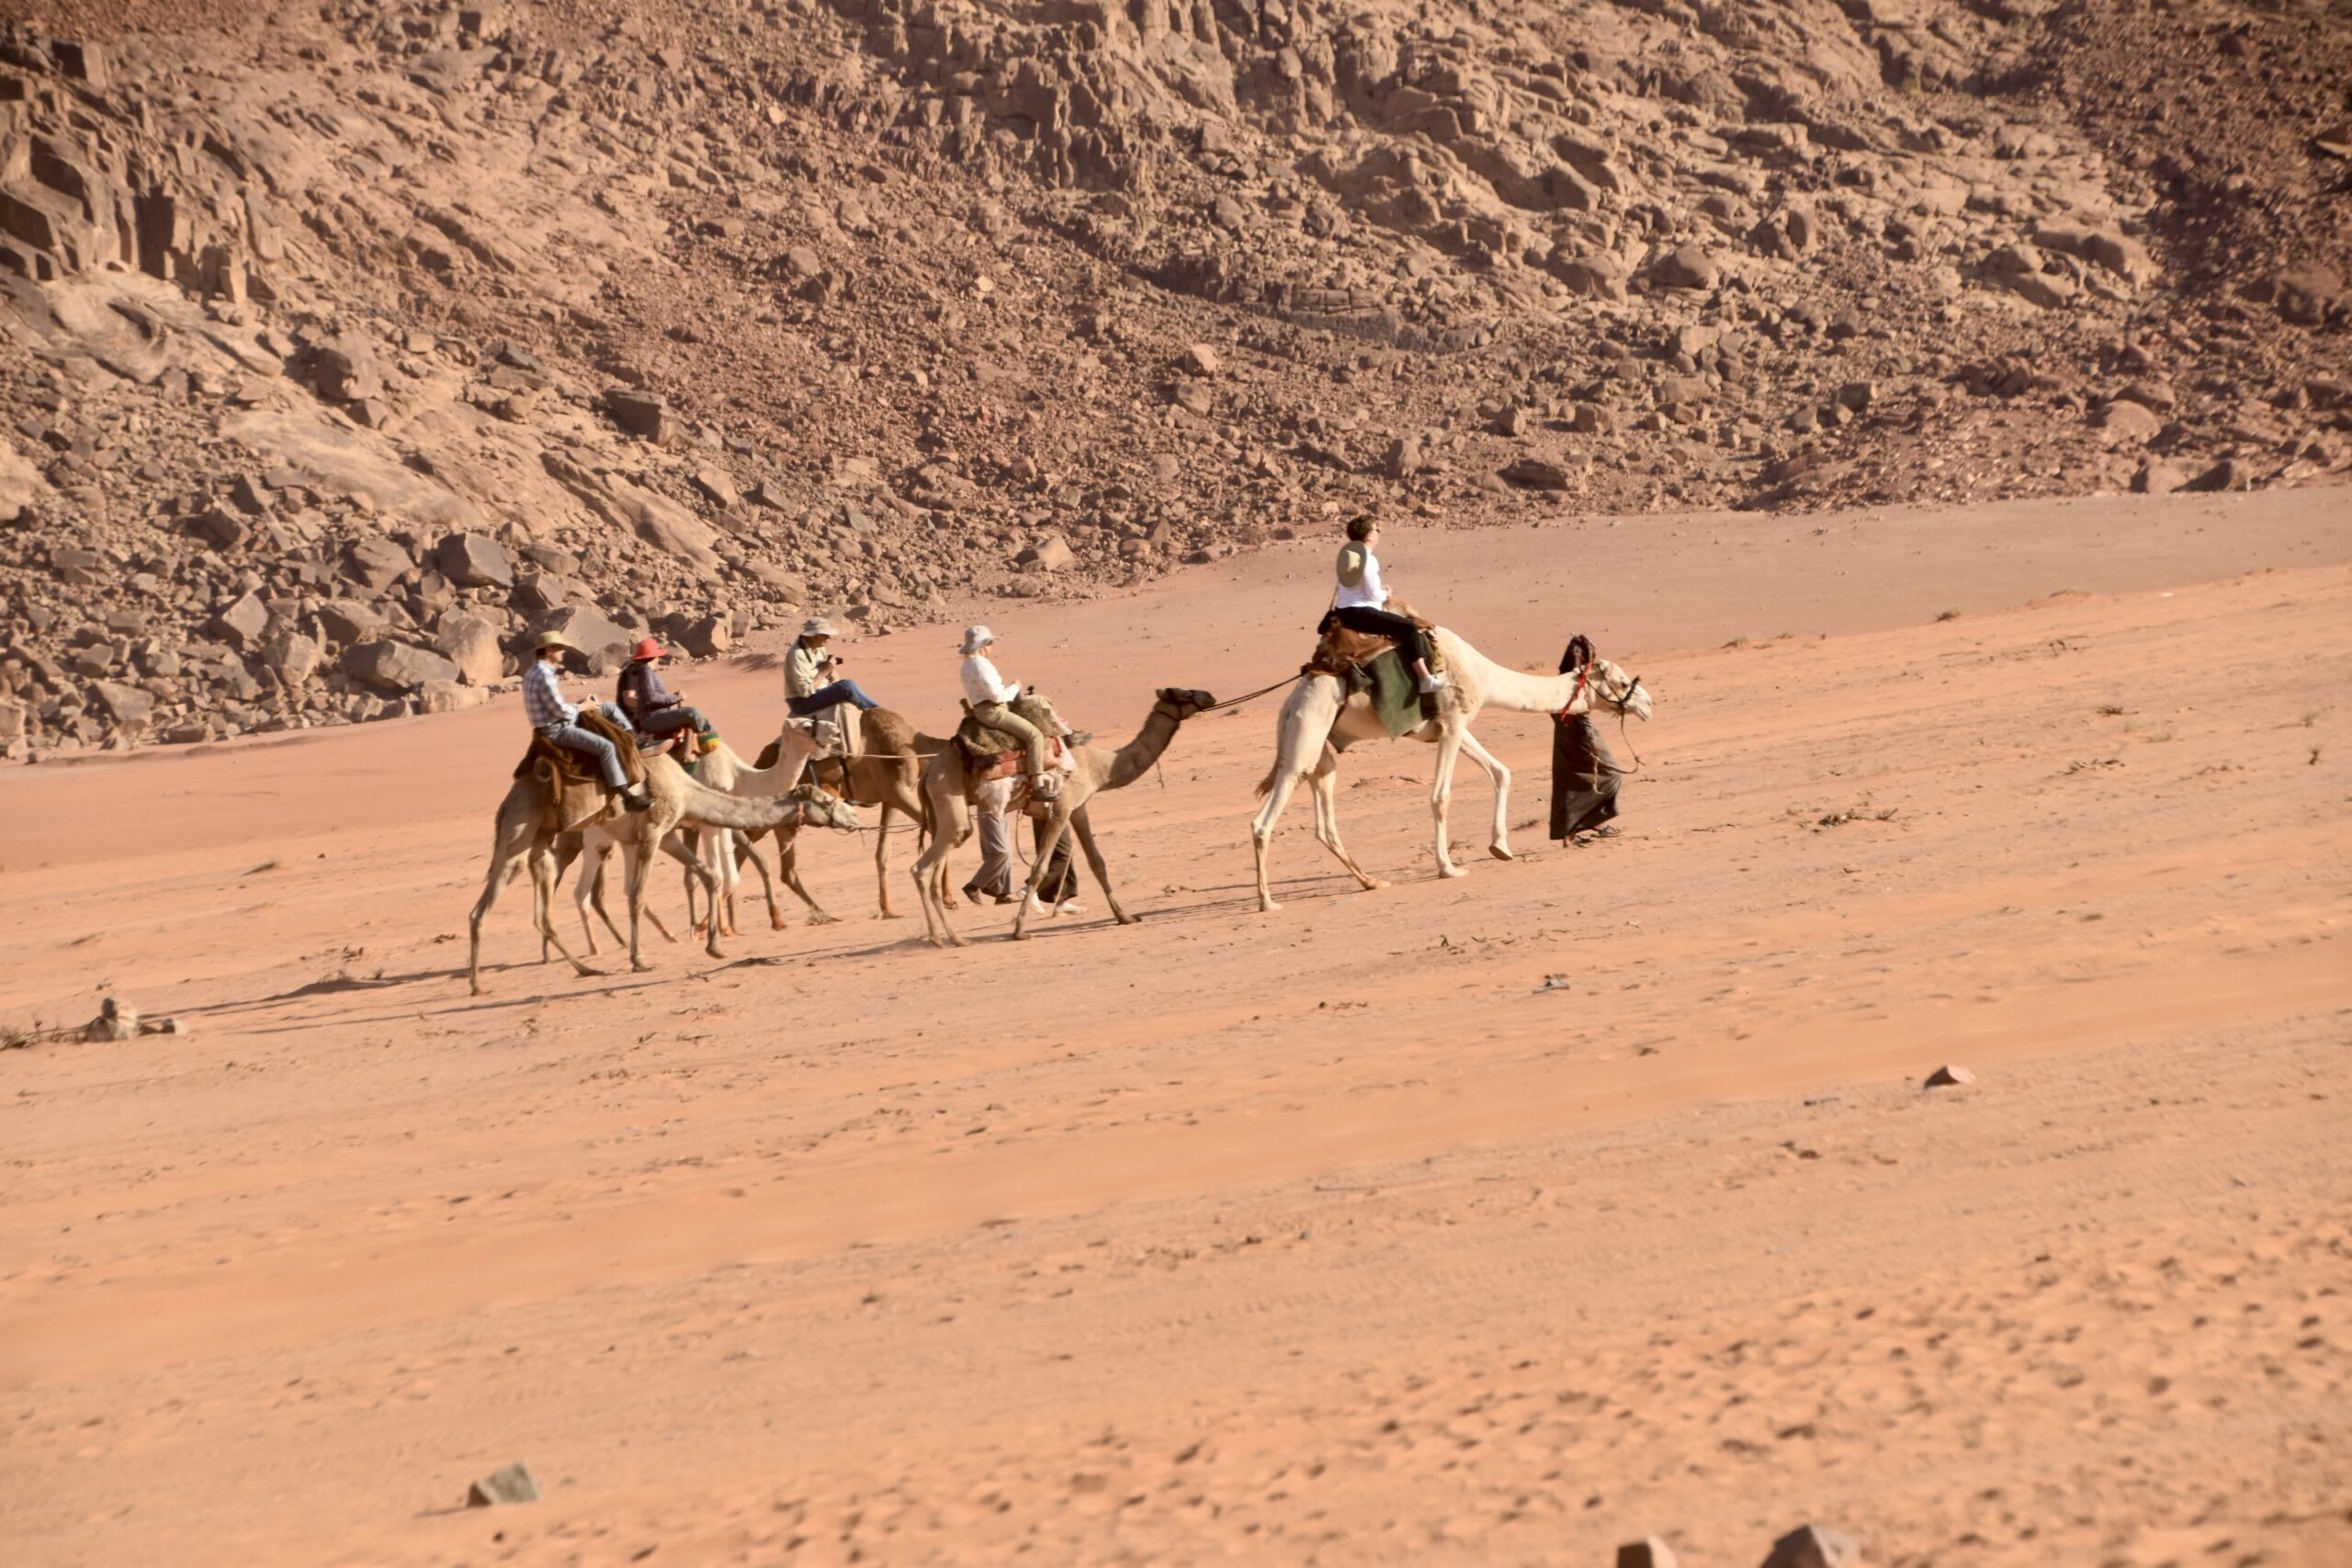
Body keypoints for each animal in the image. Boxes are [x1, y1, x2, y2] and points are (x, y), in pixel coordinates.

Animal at [467, 744, 827, 995]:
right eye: (824, 801)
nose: (840, 814)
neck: (688, 789)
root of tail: (510, 798)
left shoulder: (666, 836)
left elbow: (710, 876)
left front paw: (713, 945)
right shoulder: (652, 833)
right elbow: (637, 896)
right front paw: (639, 960)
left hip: (537, 842)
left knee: (532, 905)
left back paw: (581, 968)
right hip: (526, 832)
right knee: (496, 905)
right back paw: (481, 983)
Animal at [909, 687, 1217, 948]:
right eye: (1183, 693)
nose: (1210, 696)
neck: (1099, 766)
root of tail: (928, 772)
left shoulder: (1079, 808)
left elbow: (1097, 862)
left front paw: (1125, 916)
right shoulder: (1062, 808)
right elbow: (1038, 869)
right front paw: (1019, 931)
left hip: (946, 814)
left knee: (937, 866)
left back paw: (955, 938)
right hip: (949, 798)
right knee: (922, 868)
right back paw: (939, 938)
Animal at [1250, 629, 1650, 910]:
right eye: (1619, 680)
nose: (1647, 704)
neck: (1483, 674)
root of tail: (1288, 706)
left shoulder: (1452, 726)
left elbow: (1501, 772)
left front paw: (1501, 846)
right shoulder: (1454, 722)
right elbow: (1440, 796)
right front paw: (1449, 868)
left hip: (1323, 754)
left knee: (1325, 824)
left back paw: (1371, 882)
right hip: (1305, 737)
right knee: (1263, 821)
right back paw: (1268, 902)